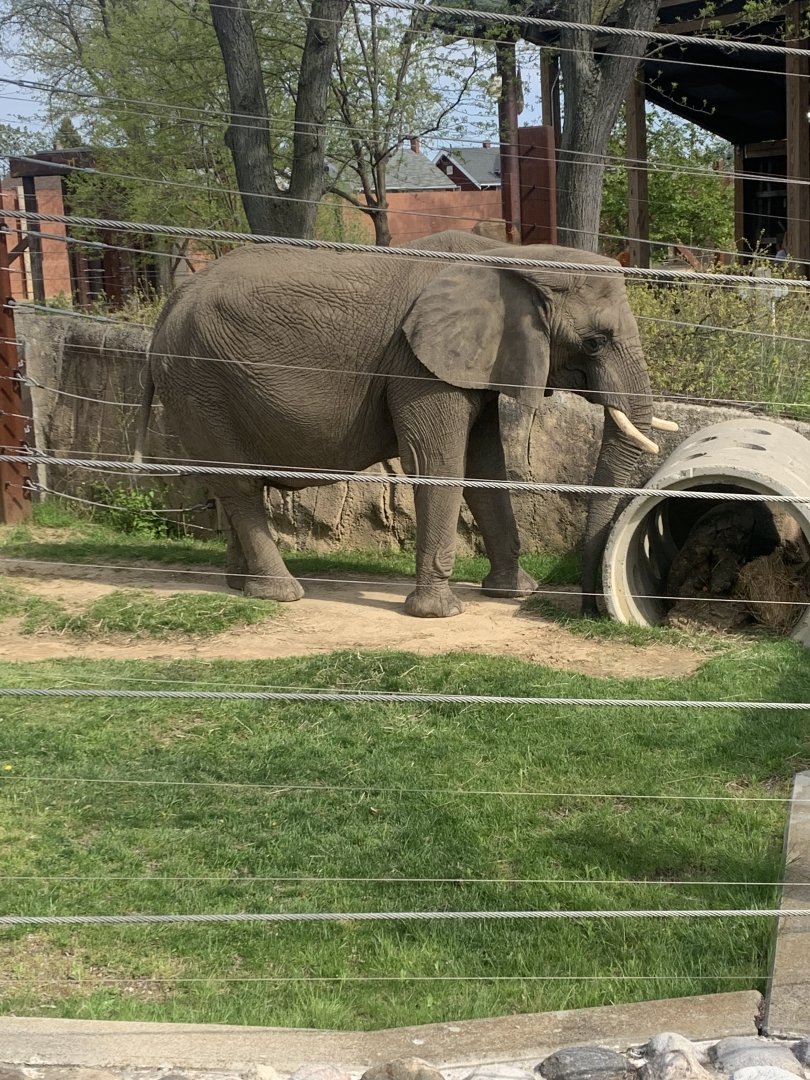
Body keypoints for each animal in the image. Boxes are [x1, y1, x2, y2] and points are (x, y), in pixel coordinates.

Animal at [136, 230, 674, 618]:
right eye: (595, 342)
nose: (590, 611)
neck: (512, 256)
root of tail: (168, 306)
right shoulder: (416, 366)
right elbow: (437, 462)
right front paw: (441, 613)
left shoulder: (469, 362)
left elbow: (484, 468)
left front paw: (513, 593)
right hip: (199, 380)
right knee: (241, 486)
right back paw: (281, 594)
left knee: (228, 482)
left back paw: (240, 586)